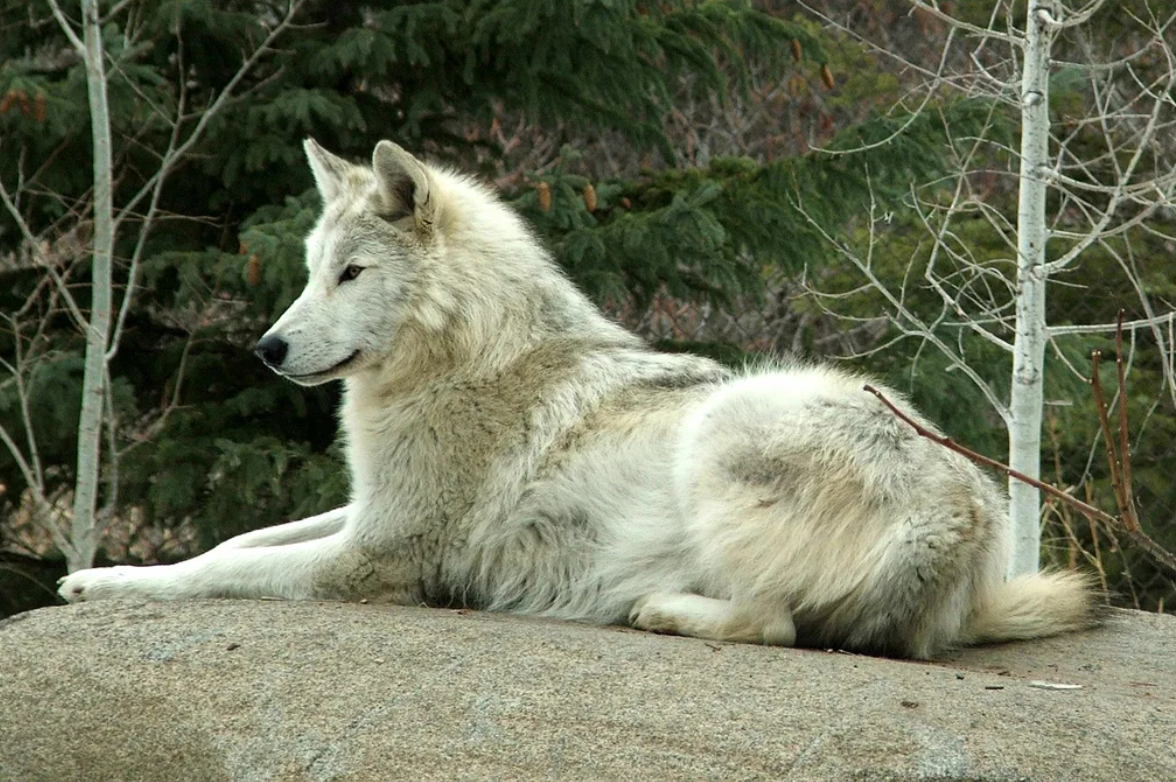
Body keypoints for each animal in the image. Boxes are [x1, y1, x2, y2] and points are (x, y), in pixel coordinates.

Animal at [57, 138, 1100, 658]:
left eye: (352, 274)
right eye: (313, 271)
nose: (267, 348)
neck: (470, 358)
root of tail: (967, 520)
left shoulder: (375, 558)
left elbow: (209, 573)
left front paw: (102, 582)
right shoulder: (367, 510)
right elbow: (233, 542)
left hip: (725, 427)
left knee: (772, 623)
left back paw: (660, 611)